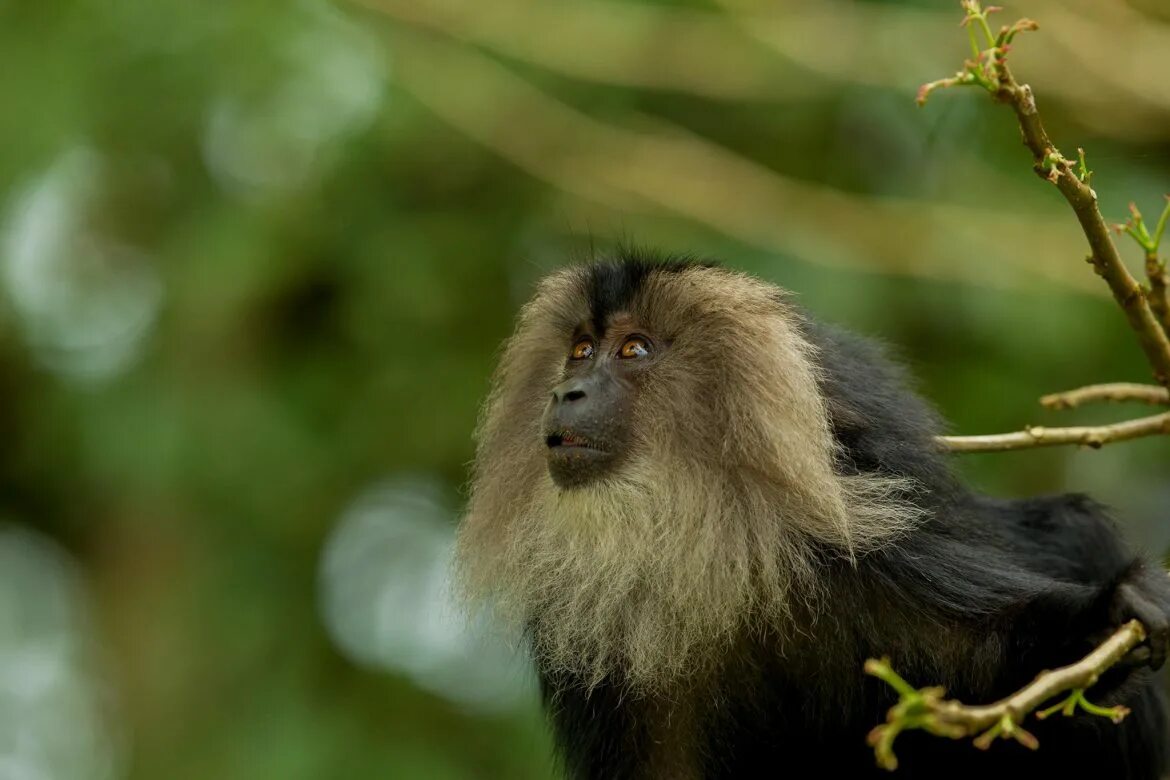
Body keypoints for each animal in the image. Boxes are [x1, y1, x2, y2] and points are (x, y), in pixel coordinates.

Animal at [453, 253, 1170, 776]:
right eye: (580, 351)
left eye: (634, 350)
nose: (567, 391)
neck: (708, 553)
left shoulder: (847, 551)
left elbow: (996, 652)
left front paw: (1113, 613)